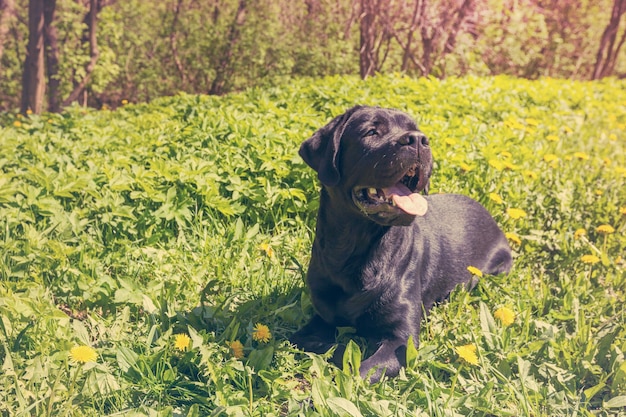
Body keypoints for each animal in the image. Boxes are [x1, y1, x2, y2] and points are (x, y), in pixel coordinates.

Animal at [290, 106, 510, 380]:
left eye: (416, 130)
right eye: (371, 132)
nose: (418, 140)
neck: (355, 252)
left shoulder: (401, 341)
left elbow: (361, 370)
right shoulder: (319, 319)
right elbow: (315, 341)